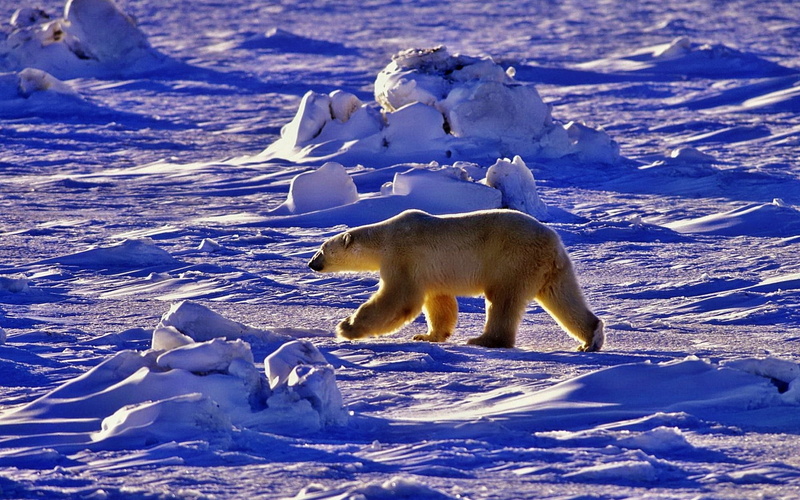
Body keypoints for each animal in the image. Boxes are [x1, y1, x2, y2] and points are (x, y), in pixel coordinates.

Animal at [308, 209, 604, 351]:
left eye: (321, 249)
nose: (311, 264)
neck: (385, 237)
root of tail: (552, 242)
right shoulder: (429, 271)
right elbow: (439, 302)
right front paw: (427, 335)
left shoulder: (403, 256)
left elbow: (399, 299)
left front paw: (346, 327)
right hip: (552, 269)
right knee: (563, 297)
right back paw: (590, 339)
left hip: (512, 260)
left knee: (503, 300)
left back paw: (484, 340)